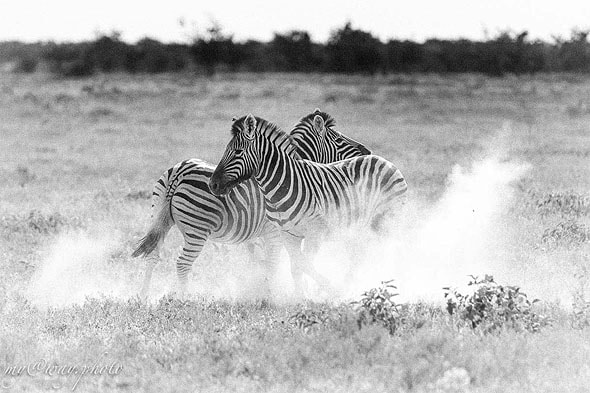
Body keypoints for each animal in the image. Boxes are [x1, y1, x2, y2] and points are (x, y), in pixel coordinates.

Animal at [208, 112, 408, 288]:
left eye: (237, 151)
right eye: (230, 150)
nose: (213, 184)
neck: (282, 185)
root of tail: (385, 161)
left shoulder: (313, 232)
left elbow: (302, 264)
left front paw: (329, 289)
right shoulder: (288, 234)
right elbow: (296, 266)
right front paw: (302, 297)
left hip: (390, 217)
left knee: (395, 248)